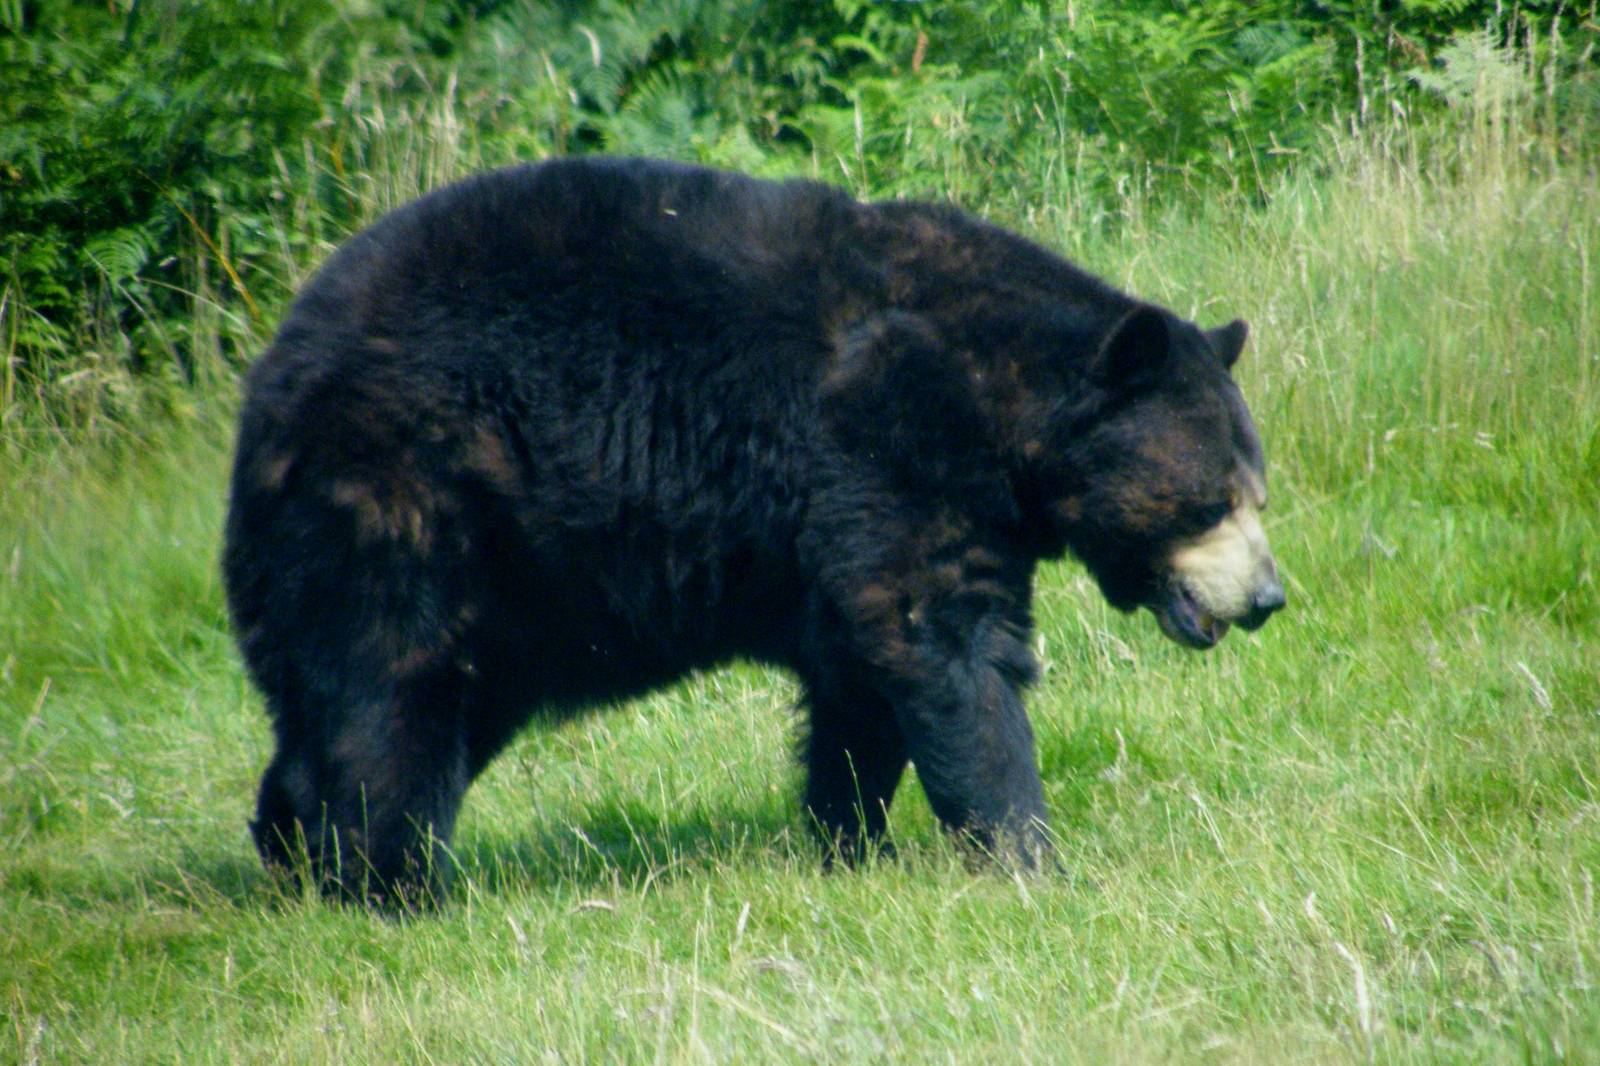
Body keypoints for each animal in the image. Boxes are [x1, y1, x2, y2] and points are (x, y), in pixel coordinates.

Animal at [223, 156, 1284, 902]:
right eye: (1209, 501)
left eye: (1257, 493)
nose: (1269, 596)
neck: (994, 399)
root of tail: (268, 383)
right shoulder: (886, 445)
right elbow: (943, 646)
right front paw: (1027, 856)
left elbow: (860, 682)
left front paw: (848, 844)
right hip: (406, 502)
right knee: (390, 695)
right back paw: (392, 886)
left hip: (506, 607)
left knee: (369, 712)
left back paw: (293, 852)